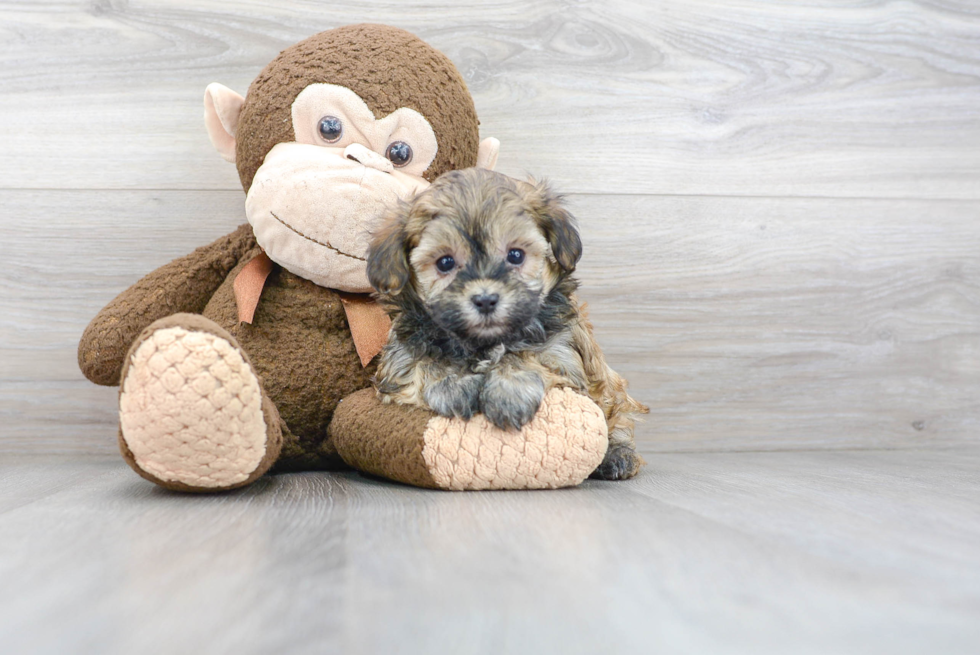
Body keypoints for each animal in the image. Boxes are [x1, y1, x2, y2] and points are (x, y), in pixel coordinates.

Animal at [364, 167, 648, 480]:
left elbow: (525, 356)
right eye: (445, 262)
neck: (482, 343)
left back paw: (617, 456)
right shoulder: (399, 359)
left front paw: (509, 392)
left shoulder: (561, 354)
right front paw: (451, 384)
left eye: (515, 255)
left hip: (612, 393)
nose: (486, 299)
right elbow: (423, 362)